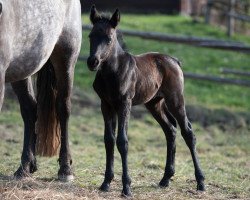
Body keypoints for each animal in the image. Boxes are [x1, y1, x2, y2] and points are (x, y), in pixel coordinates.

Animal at [0, 0, 82, 181]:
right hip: (22, 68)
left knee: (63, 108)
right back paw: (25, 167)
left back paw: (65, 170)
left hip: (65, 57)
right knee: (30, 109)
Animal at [87, 5, 204, 196]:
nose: (93, 62)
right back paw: (165, 179)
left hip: (176, 100)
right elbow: (109, 140)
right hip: (154, 103)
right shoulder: (106, 105)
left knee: (188, 132)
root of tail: (175, 61)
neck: (113, 72)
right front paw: (106, 183)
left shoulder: (124, 104)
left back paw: (200, 182)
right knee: (170, 130)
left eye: (109, 38)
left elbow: (122, 141)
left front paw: (126, 187)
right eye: (91, 36)